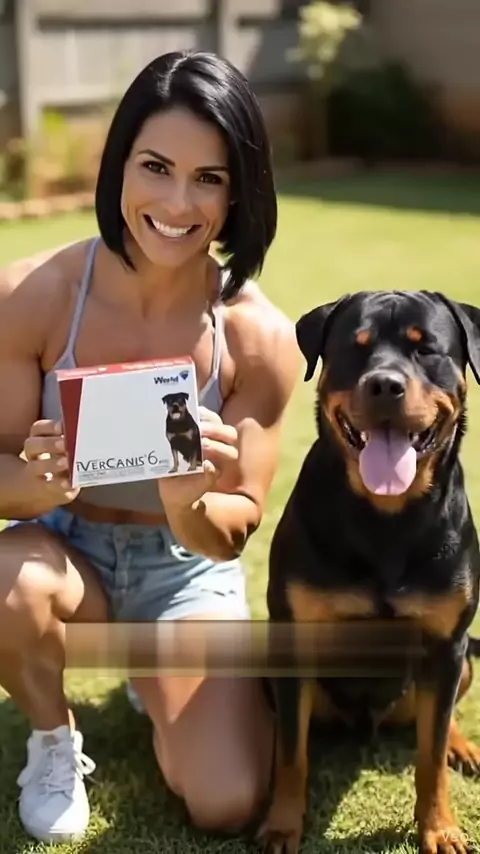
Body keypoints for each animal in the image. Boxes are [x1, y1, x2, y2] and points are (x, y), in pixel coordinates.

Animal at [258, 291, 480, 854]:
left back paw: (463, 746)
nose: (384, 384)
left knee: (442, 718)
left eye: (427, 349)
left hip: (461, 659)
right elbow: (290, 752)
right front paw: (282, 825)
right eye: (355, 348)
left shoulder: (446, 643)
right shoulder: (293, 637)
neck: (386, 519)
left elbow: (430, 755)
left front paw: (440, 828)